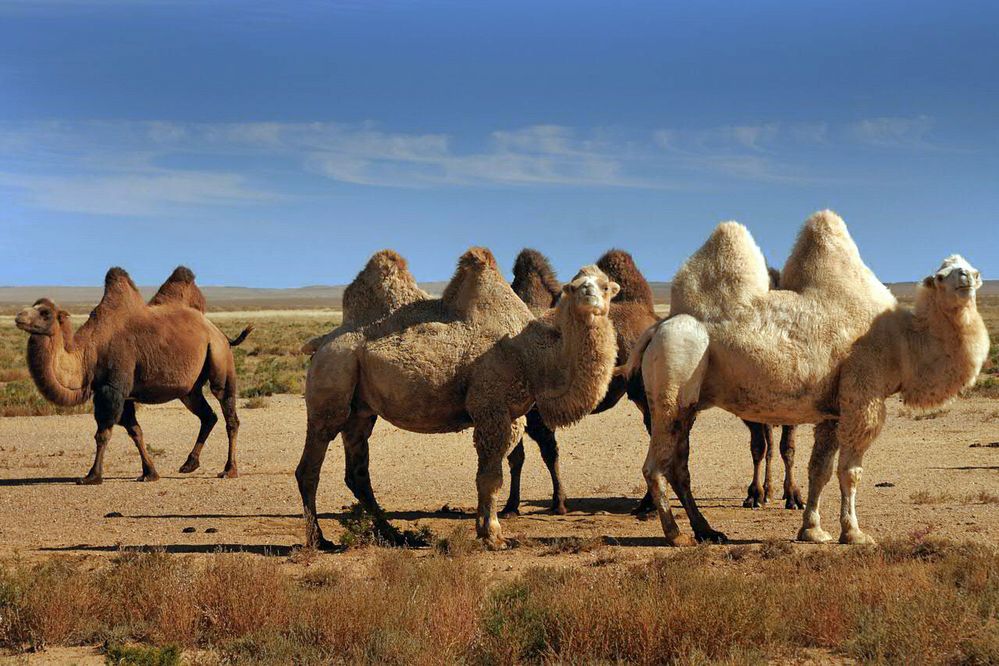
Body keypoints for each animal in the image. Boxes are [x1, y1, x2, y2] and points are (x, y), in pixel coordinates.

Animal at [15, 267, 252, 484]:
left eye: (45, 313)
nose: (19, 317)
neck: (89, 353)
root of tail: (220, 333)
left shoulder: (113, 389)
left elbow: (103, 433)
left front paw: (92, 476)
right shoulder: (122, 395)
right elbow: (135, 431)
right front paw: (149, 473)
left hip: (219, 357)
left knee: (228, 412)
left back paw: (229, 470)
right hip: (189, 389)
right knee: (207, 415)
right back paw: (189, 464)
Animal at [296, 247, 621, 550]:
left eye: (605, 286)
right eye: (575, 286)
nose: (590, 296)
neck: (531, 354)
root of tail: (321, 343)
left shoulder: (512, 416)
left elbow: (493, 473)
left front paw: (485, 529)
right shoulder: (491, 408)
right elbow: (490, 477)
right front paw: (493, 535)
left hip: (361, 410)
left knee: (358, 473)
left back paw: (394, 534)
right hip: (331, 383)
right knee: (309, 468)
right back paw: (319, 540)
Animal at [624, 210, 989, 545]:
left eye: (968, 267)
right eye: (940, 276)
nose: (967, 277)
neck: (903, 341)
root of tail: (656, 328)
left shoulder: (833, 410)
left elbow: (820, 470)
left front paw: (812, 529)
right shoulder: (863, 398)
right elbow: (850, 472)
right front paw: (854, 533)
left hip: (687, 403)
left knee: (679, 465)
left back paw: (707, 530)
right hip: (674, 377)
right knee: (654, 466)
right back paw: (676, 535)